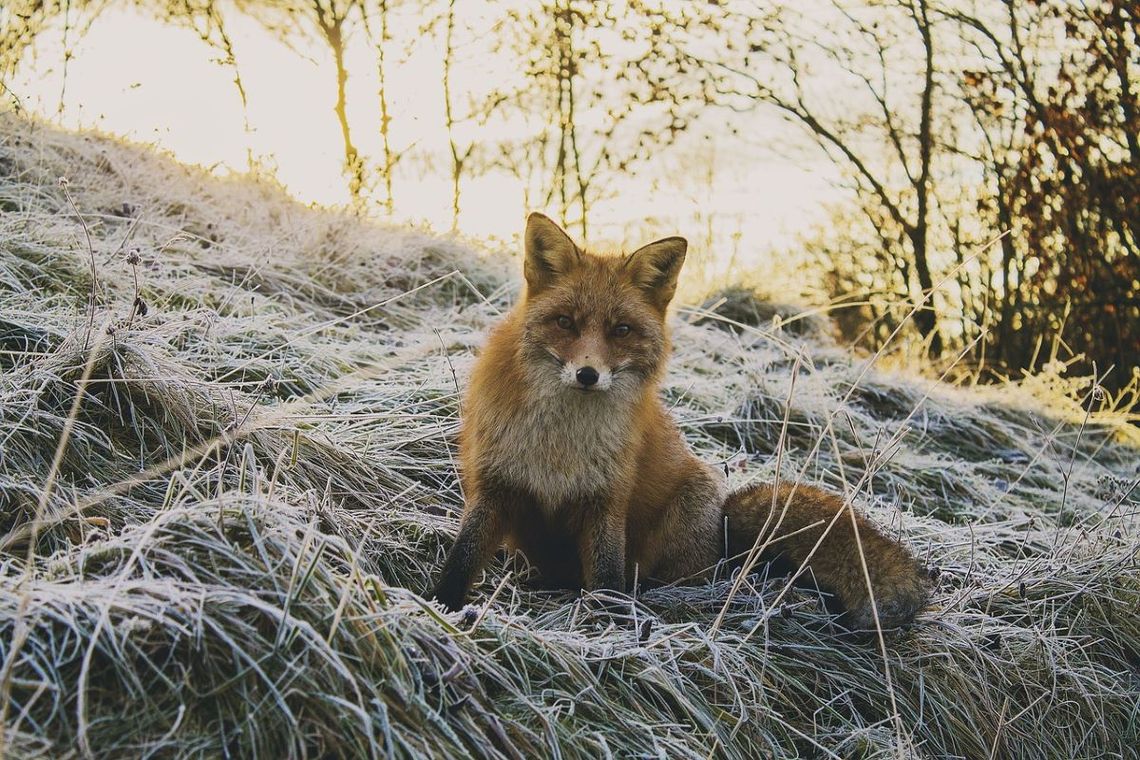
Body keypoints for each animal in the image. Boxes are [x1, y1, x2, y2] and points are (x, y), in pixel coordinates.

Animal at [430, 214, 930, 628]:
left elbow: (607, 577)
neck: (561, 441)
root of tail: (723, 538)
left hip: (686, 514)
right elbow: (462, 557)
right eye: (565, 322)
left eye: (621, 330)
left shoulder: (607, 500)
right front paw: (440, 609)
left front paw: (610, 624)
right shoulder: (495, 485)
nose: (588, 374)